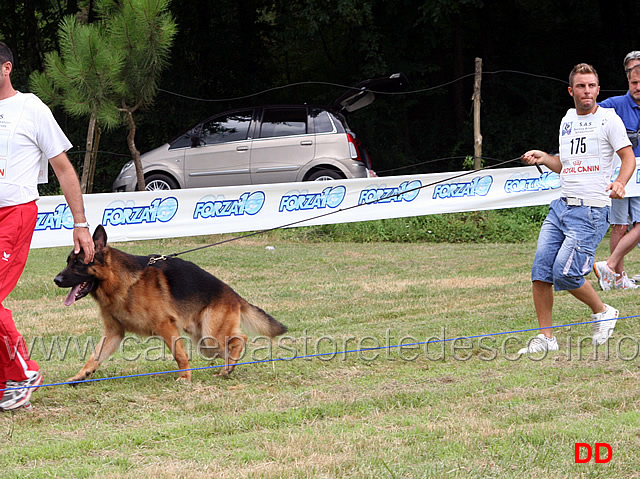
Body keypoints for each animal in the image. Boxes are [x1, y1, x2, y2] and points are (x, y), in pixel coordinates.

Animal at [52, 227, 288, 384]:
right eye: (67, 262)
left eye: (78, 263)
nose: (56, 279)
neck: (120, 281)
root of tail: (233, 294)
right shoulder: (114, 332)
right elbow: (95, 356)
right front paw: (81, 375)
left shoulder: (165, 326)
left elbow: (179, 354)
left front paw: (185, 377)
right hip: (205, 343)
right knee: (230, 346)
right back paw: (227, 368)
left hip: (210, 335)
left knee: (241, 339)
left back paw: (228, 368)